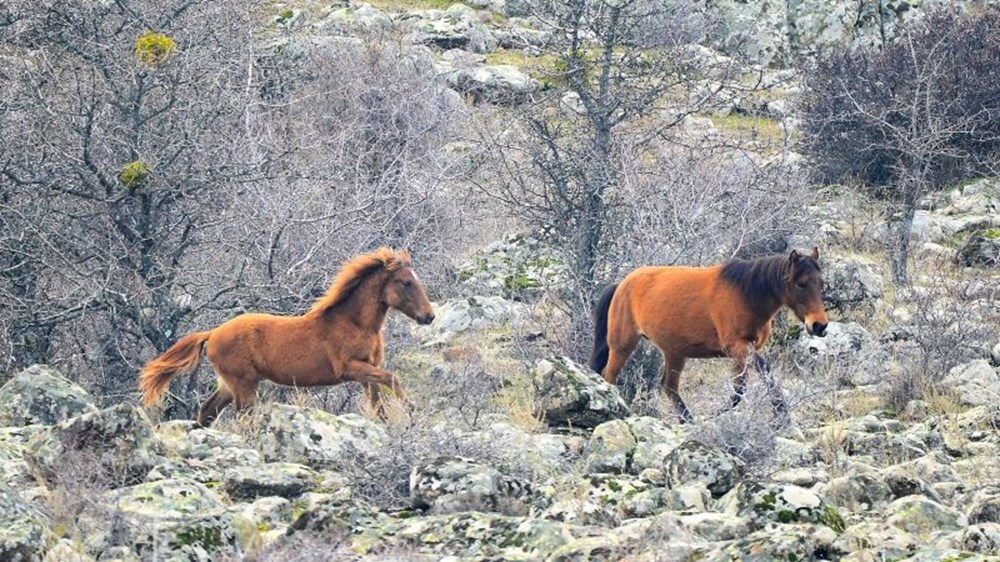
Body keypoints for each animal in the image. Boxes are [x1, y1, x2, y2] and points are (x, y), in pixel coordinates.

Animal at [138, 245, 434, 424]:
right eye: (406, 282)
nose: (429, 316)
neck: (354, 323)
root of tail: (213, 333)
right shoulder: (350, 368)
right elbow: (392, 378)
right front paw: (411, 410)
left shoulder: (367, 369)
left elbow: (378, 402)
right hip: (244, 384)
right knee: (243, 417)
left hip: (228, 384)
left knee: (208, 411)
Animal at [588, 248, 832, 420]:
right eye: (801, 284)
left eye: (821, 283)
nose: (819, 325)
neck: (746, 293)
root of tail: (621, 285)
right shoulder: (736, 347)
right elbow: (742, 386)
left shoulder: (745, 349)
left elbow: (760, 377)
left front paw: (782, 415)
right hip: (622, 345)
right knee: (609, 376)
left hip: (675, 352)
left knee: (669, 387)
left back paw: (688, 421)